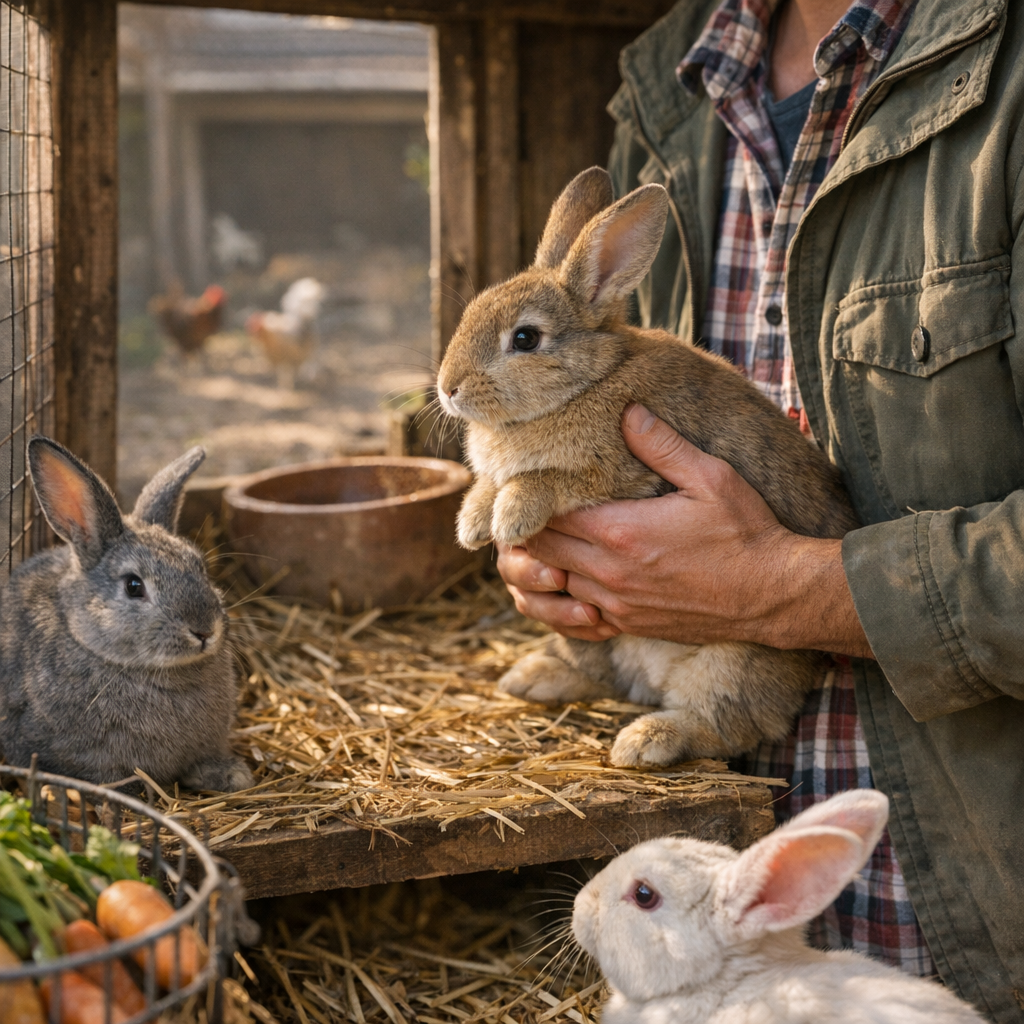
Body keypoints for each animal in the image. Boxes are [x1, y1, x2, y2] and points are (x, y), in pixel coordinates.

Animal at [435, 166, 859, 768]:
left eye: (525, 338)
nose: (447, 388)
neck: (588, 380)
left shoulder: (628, 474)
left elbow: (547, 479)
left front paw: (511, 517)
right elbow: (486, 483)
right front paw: (473, 525)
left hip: (732, 664)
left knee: (724, 726)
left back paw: (645, 741)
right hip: (588, 633)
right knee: (604, 677)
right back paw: (533, 678)